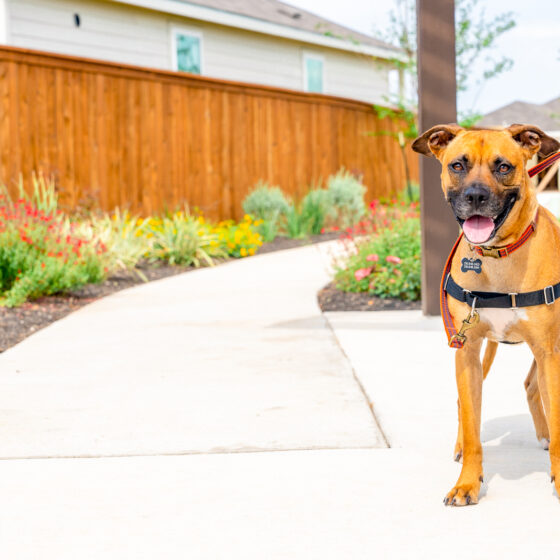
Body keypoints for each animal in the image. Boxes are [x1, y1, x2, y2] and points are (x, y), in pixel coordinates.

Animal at [412, 124, 560, 506]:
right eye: (457, 165)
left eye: (504, 166)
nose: (476, 197)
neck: (499, 256)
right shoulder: (466, 351)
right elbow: (472, 420)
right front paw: (467, 482)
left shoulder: (549, 351)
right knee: (471, 403)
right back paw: (462, 446)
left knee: (534, 386)